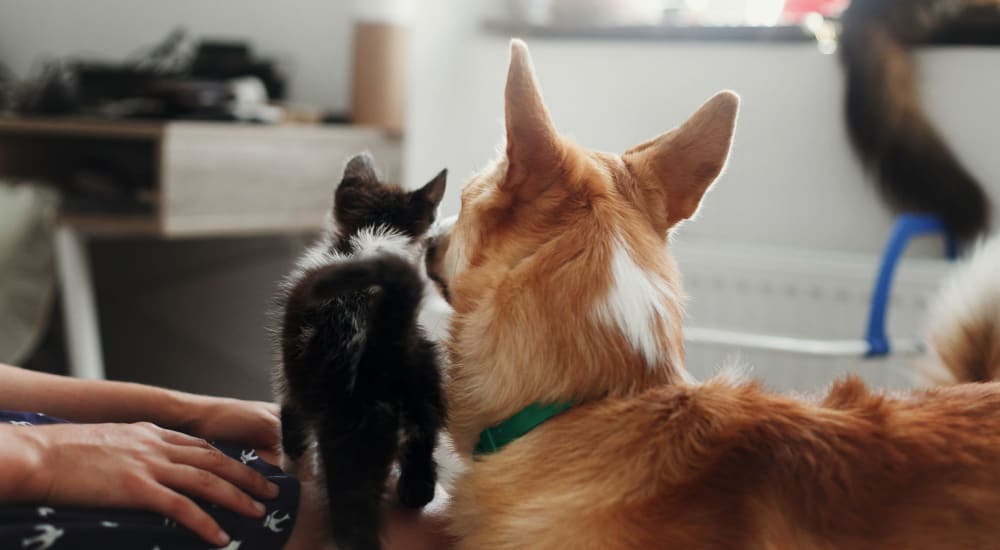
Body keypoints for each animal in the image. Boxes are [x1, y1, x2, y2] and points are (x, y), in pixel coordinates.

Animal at [274, 152, 446, 550]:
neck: (369, 236)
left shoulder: (291, 380)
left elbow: (292, 430)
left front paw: (293, 471)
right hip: (427, 395)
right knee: (421, 477)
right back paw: (412, 490)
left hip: (349, 431)